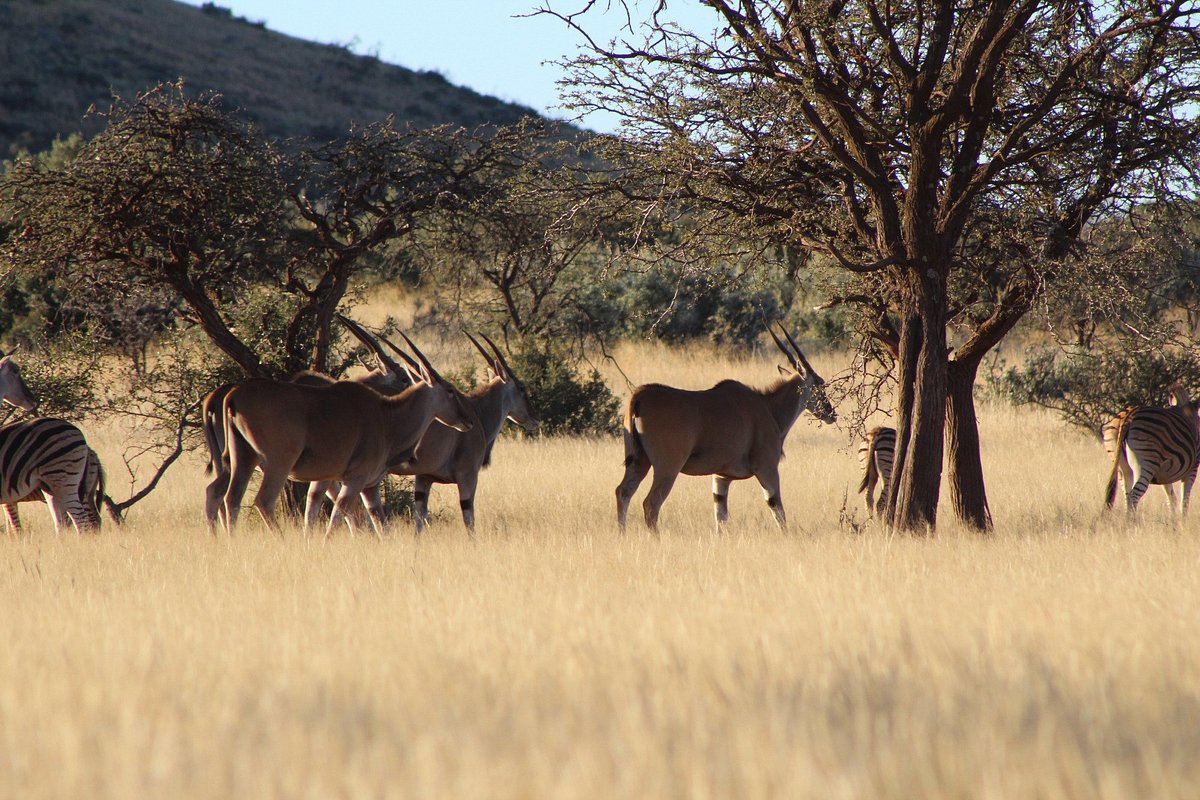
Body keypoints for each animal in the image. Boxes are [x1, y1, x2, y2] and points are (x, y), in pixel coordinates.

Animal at [220, 331, 472, 537]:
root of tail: (235, 396)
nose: (468, 420)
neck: (387, 416)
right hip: (278, 464)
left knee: (231, 499)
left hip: (243, 459)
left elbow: (376, 523)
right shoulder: (354, 480)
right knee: (263, 501)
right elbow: (337, 517)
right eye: (450, 390)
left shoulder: (364, 485)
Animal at [614, 328, 840, 534]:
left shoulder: (721, 477)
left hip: (639, 462)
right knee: (651, 503)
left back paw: (623, 535)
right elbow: (777, 509)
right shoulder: (767, 468)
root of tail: (639, 397)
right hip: (667, 468)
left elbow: (720, 517)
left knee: (623, 492)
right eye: (820, 384)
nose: (831, 414)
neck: (768, 407)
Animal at [1104, 383, 1200, 515]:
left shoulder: (1165, 473)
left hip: (1121, 465)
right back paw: (1133, 520)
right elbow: (1184, 502)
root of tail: (1128, 417)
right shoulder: (1192, 469)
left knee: (1127, 496)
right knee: (1134, 495)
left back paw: (1127, 520)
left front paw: (1173, 520)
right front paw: (1181, 520)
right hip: (1146, 463)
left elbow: (1172, 499)